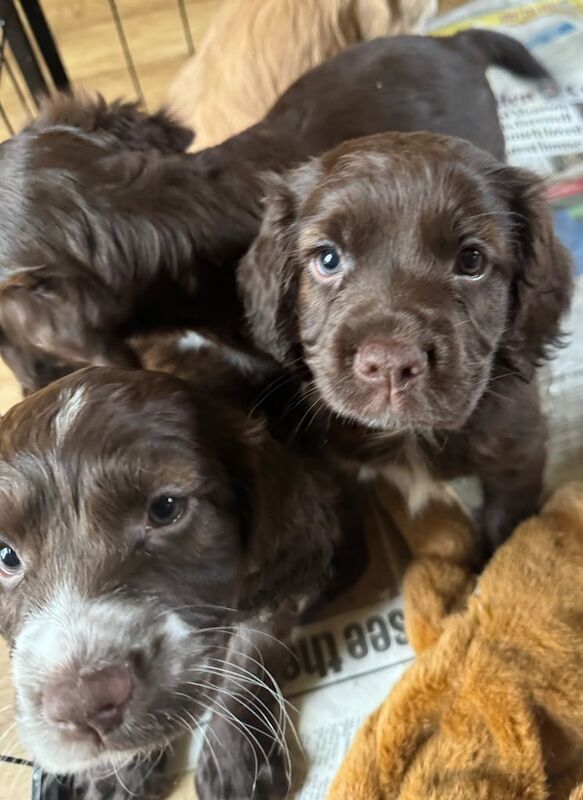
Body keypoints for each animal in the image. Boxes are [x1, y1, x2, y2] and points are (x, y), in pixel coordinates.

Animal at [0, 356, 350, 800]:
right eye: (5, 555)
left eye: (165, 508)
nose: (83, 703)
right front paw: (119, 772)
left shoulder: (276, 584)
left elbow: (250, 652)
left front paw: (238, 763)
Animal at [238, 133, 576, 552]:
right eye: (328, 259)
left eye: (472, 261)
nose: (389, 364)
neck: (408, 434)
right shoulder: (334, 458)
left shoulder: (519, 453)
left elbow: (508, 526)